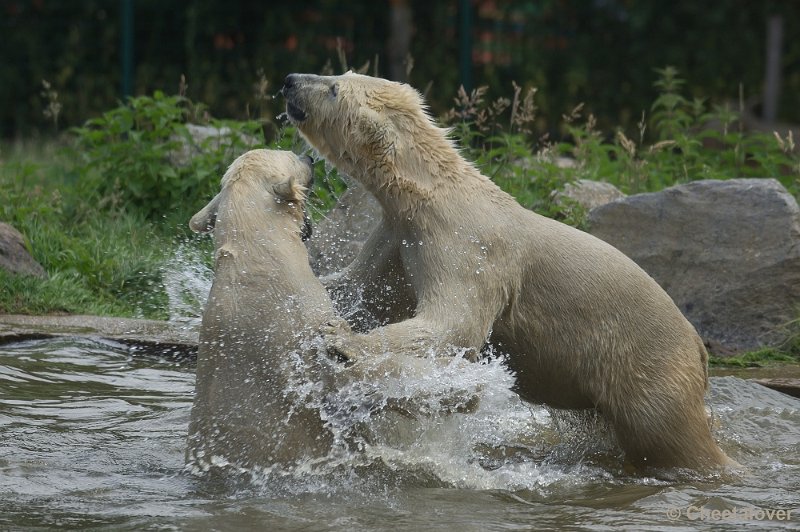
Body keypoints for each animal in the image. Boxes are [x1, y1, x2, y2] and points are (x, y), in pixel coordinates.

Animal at [282, 70, 736, 470]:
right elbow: (361, 287)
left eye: (334, 89)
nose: (290, 81)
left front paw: (341, 340)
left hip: (647, 364)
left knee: (669, 434)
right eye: (338, 75)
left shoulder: (467, 245)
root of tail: (698, 347)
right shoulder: (400, 237)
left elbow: (454, 324)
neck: (434, 194)